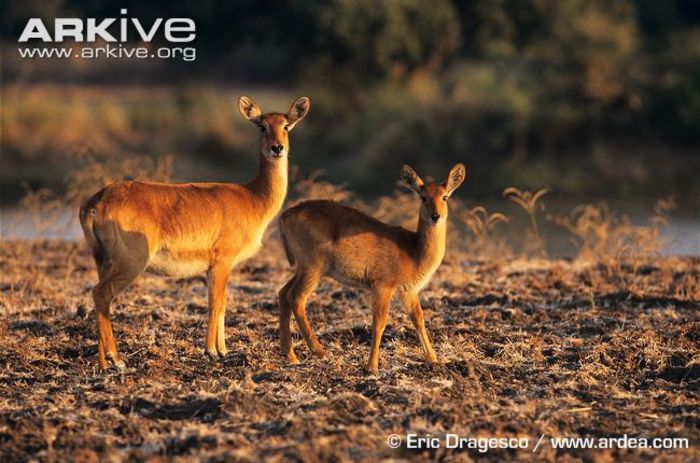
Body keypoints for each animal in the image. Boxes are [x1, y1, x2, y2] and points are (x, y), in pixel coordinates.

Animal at [78, 96, 308, 372]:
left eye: (286, 125)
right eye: (262, 126)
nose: (277, 148)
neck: (252, 198)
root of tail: (96, 201)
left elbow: (222, 303)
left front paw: (223, 350)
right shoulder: (222, 261)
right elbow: (215, 303)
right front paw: (212, 352)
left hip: (103, 261)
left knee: (101, 298)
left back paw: (103, 362)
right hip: (130, 263)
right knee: (101, 294)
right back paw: (118, 359)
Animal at [278, 163, 464, 374]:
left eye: (445, 196)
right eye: (423, 196)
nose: (435, 216)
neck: (414, 252)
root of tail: (285, 216)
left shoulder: (408, 291)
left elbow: (419, 319)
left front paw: (433, 358)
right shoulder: (383, 285)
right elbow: (379, 322)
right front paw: (372, 366)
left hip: (302, 267)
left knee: (283, 293)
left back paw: (290, 355)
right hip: (313, 266)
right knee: (296, 297)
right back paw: (319, 351)